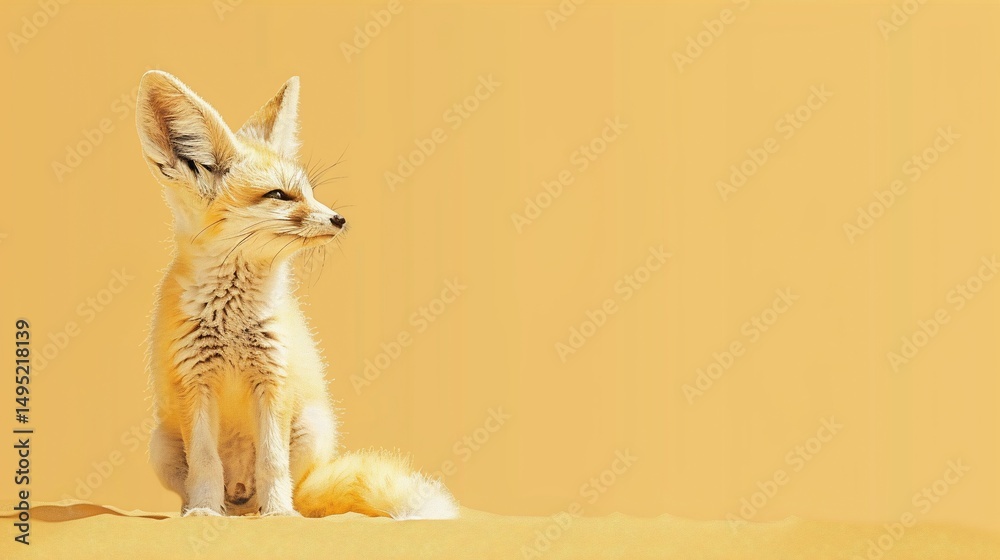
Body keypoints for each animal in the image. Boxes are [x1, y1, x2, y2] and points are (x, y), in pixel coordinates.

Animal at [135, 70, 458, 519]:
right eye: (279, 195)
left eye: (308, 193)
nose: (339, 219)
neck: (232, 319)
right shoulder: (194, 382)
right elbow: (205, 462)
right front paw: (202, 512)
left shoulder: (274, 378)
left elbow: (272, 462)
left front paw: (280, 516)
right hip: (160, 445)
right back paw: (213, 509)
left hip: (312, 428)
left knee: (284, 485)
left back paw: (272, 509)